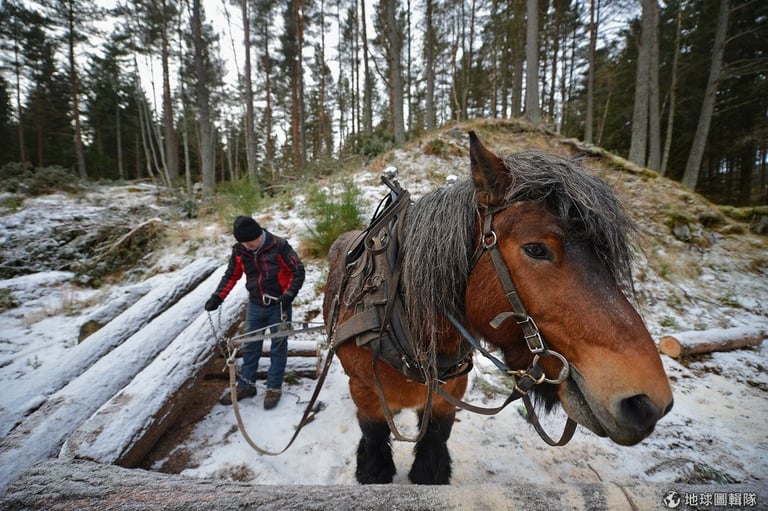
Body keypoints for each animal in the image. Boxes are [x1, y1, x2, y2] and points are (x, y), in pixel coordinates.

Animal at [322, 131, 672, 484]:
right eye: (536, 249)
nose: (647, 403)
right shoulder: (364, 393)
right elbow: (375, 440)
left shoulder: (451, 393)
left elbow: (434, 443)